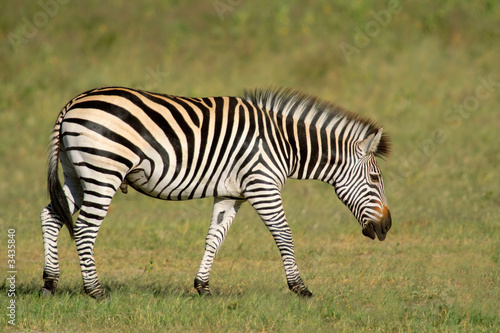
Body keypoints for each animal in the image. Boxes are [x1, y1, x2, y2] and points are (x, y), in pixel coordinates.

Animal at [40, 86, 390, 298]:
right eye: (375, 178)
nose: (387, 227)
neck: (284, 143)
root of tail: (73, 102)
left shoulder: (231, 194)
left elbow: (215, 237)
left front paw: (203, 287)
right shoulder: (262, 186)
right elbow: (284, 235)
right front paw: (300, 288)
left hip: (76, 173)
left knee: (51, 216)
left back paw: (50, 283)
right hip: (103, 172)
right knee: (85, 228)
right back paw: (95, 291)